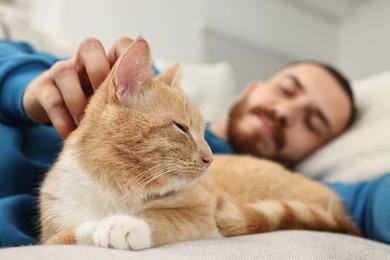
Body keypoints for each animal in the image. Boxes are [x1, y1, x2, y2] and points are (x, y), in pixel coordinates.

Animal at [38, 36, 360, 250]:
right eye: (181, 128)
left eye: (204, 132)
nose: (210, 158)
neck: (115, 188)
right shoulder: (51, 231)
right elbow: (68, 234)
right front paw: (97, 225)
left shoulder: (204, 212)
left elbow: (166, 218)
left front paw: (126, 223)